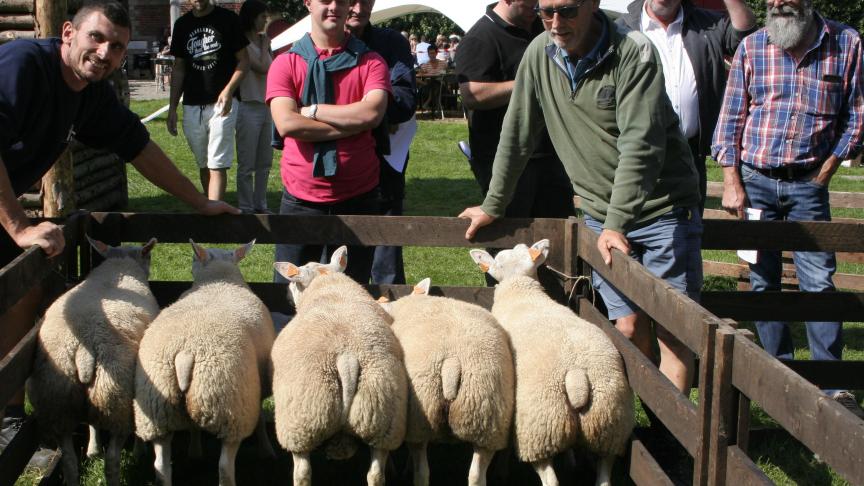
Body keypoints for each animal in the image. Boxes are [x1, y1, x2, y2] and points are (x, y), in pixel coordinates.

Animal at [27, 236, 159, 486]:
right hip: (116, 401)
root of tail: (83, 351)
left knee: (69, 459)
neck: (120, 265)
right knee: (112, 460)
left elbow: (93, 423)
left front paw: (93, 449)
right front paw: (139, 451)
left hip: (60, 400)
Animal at [133, 240, 276, 486]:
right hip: (230, 406)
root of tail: (185, 353)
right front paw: (267, 450)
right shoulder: (254, 390)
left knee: (161, 466)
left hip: (158, 408)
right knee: (225, 467)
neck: (218, 280)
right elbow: (259, 422)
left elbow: (193, 426)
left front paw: (195, 452)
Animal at [274, 247, 408, 486]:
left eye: (295, 282)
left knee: (302, 472)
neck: (328, 283)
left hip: (302, 420)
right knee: (376, 473)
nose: (287, 295)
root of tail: (347, 359)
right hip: (382, 416)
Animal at [470, 239, 632, 486]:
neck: (521, 290)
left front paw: (502, 470)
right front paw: (571, 461)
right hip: (609, 423)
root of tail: (577, 376)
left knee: (550, 478)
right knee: (605, 472)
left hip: (540, 427)